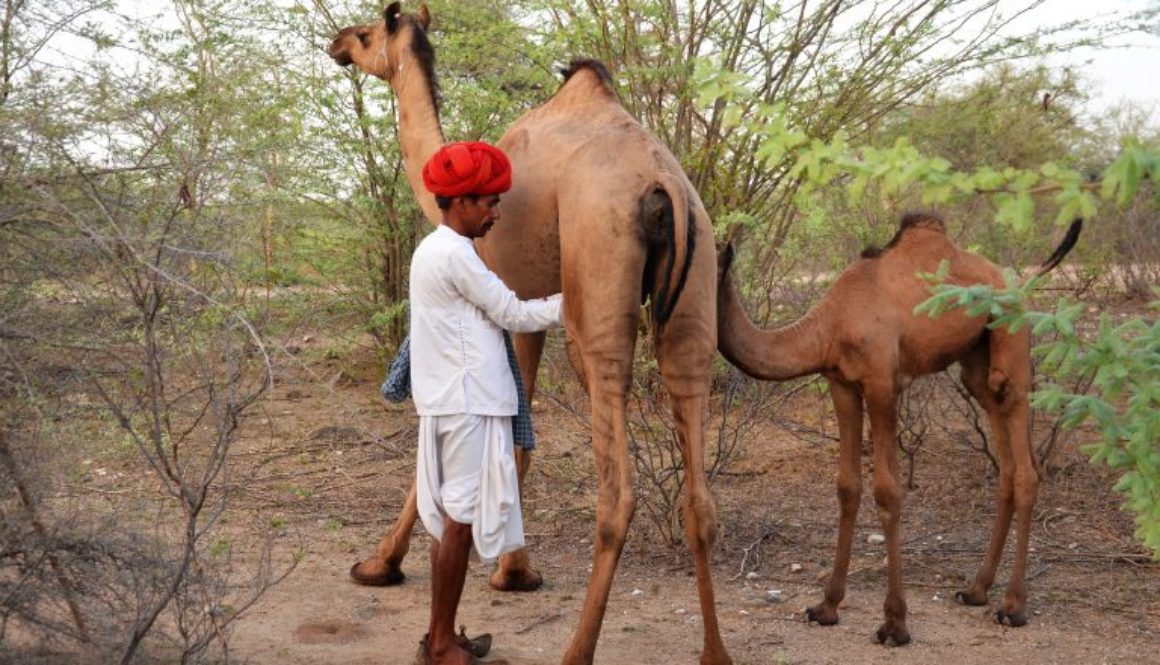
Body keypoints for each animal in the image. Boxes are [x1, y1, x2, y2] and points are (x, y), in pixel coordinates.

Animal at [327, 5, 728, 663]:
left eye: (366, 33)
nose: (335, 43)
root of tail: (661, 184)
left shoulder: (506, 295)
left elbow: (505, 437)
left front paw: (386, 564)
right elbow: (518, 437)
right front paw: (511, 569)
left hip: (599, 284)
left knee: (616, 491)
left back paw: (576, 649)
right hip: (697, 288)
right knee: (699, 485)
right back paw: (715, 652)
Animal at [709, 212, 1081, 645]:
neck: (831, 324)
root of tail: (1016, 281)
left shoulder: (882, 384)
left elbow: (887, 491)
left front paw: (894, 624)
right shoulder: (842, 383)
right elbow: (847, 487)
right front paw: (826, 606)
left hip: (1013, 349)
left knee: (1024, 466)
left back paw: (1013, 607)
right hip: (975, 363)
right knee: (1005, 464)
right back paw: (975, 590)